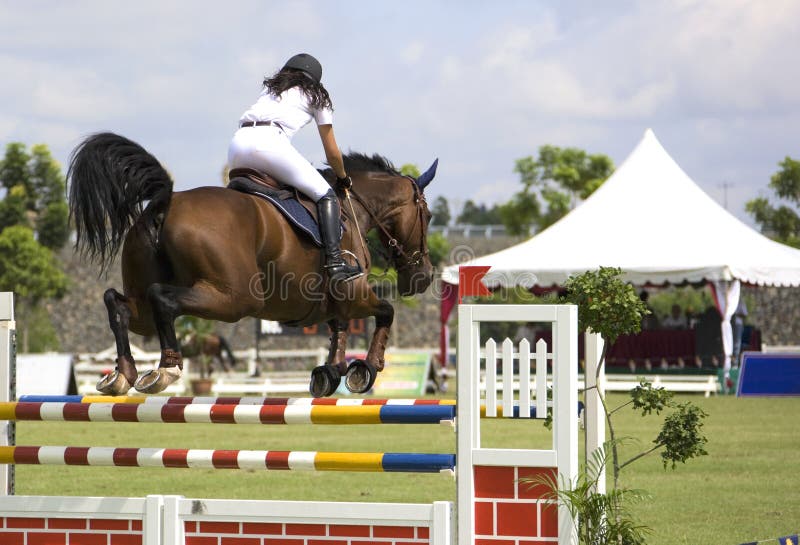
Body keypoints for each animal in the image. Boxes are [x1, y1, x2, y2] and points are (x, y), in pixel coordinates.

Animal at [66, 132, 434, 396]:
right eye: (428, 216)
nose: (424, 277)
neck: (350, 210)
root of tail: (165, 203)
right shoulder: (356, 292)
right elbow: (386, 311)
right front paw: (367, 368)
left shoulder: (336, 302)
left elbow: (339, 328)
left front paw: (331, 372)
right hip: (235, 299)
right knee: (162, 298)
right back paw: (166, 369)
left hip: (150, 308)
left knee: (119, 304)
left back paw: (123, 374)